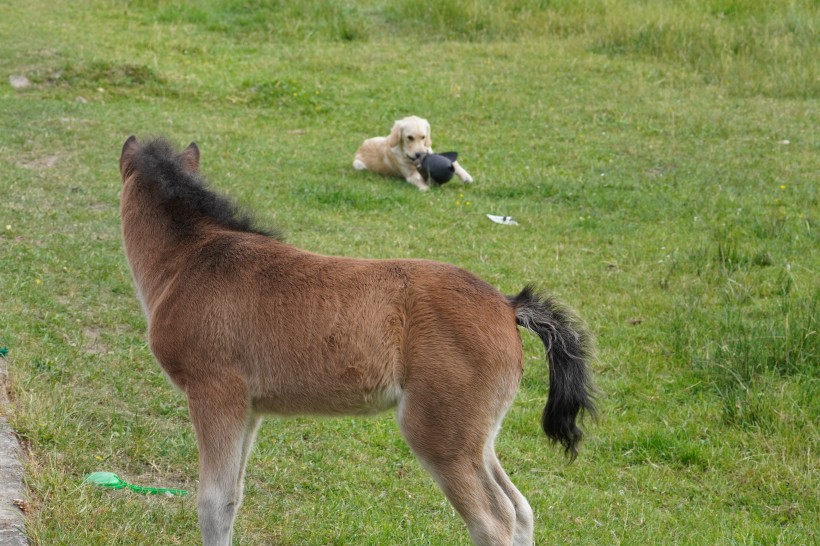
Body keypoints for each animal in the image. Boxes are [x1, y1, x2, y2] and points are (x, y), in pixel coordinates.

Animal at [118, 136, 596, 544]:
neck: (191, 261)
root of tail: (507, 305)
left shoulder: (214, 392)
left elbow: (213, 504)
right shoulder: (248, 409)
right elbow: (234, 497)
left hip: (440, 435)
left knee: (494, 520)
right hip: (478, 437)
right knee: (521, 509)